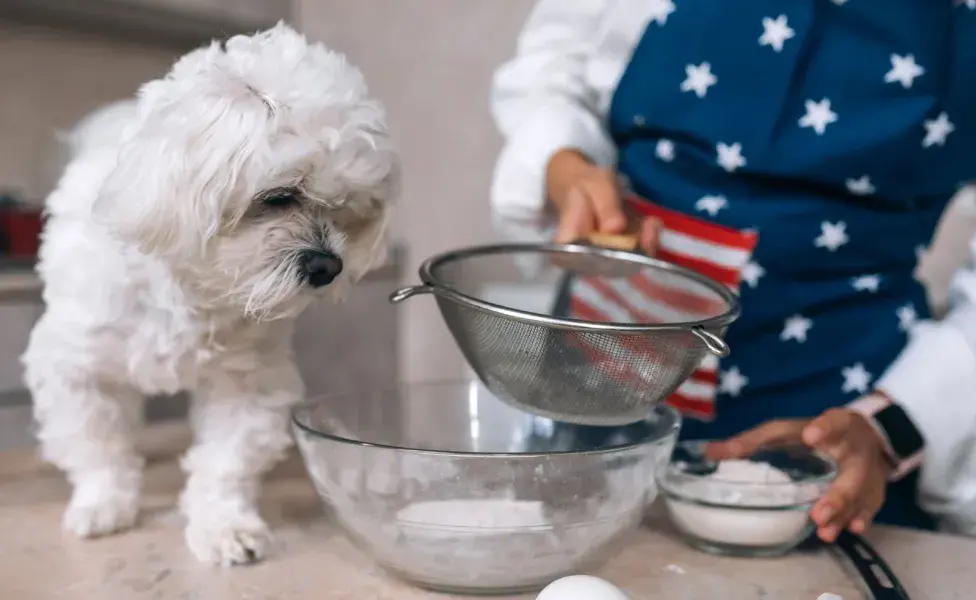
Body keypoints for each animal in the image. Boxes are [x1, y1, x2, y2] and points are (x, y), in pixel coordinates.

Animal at [19, 23, 394, 564]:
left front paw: (224, 526)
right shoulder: (78, 370)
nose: (329, 266)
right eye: (279, 197)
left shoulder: (247, 382)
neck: (191, 289)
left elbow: (225, 465)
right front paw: (103, 505)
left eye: (345, 208)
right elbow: (98, 448)